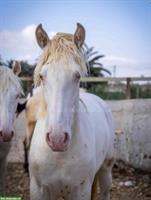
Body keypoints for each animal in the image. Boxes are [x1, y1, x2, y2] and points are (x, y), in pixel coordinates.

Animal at [29, 22, 114, 199]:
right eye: (42, 76)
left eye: (77, 76)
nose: (57, 139)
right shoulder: (38, 188)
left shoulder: (81, 190)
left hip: (106, 170)